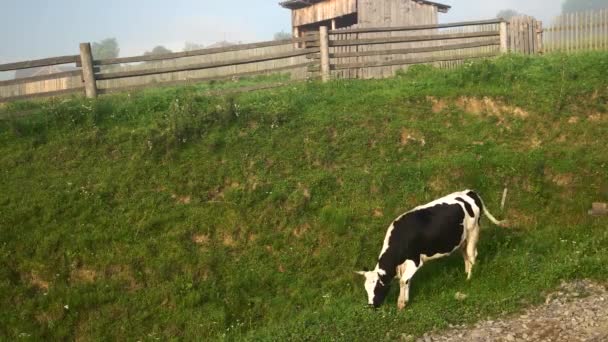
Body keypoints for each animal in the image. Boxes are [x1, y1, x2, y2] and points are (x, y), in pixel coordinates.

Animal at [356, 190, 508, 310]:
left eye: (377, 287)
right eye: (366, 289)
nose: (371, 305)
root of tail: (469, 192)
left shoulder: (415, 261)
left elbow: (403, 281)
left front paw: (401, 304)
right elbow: (407, 281)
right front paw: (405, 300)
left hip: (473, 232)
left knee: (472, 255)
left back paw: (469, 278)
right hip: (461, 239)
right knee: (465, 255)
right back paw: (465, 273)